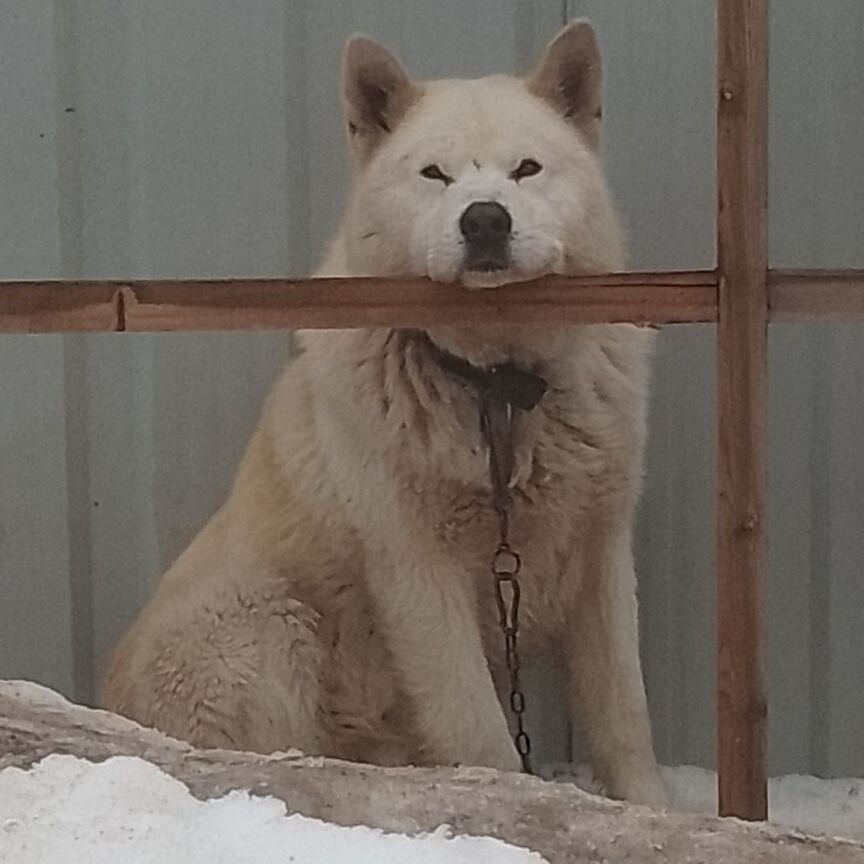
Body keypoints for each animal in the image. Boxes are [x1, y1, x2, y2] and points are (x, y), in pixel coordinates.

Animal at [103, 16, 668, 808]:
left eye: (526, 170)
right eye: (434, 175)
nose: (485, 220)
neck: (493, 389)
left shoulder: (599, 553)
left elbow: (624, 717)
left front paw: (657, 812)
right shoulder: (418, 574)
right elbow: (479, 733)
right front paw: (510, 805)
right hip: (269, 624)